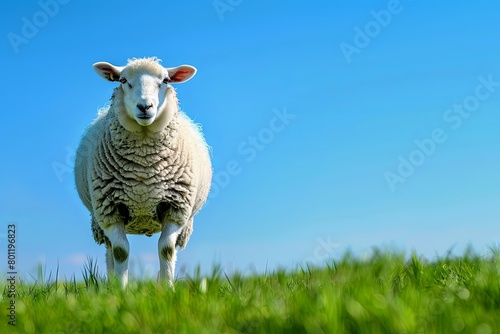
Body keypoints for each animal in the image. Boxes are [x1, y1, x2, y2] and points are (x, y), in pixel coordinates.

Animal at [75, 56, 212, 288]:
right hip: (100, 221)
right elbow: (120, 252)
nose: (145, 106)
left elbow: (166, 250)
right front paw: (120, 290)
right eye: (122, 80)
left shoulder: (175, 209)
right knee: (110, 252)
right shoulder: (110, 210)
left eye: (165, 80)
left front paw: (167, 288)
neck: (144, 168)